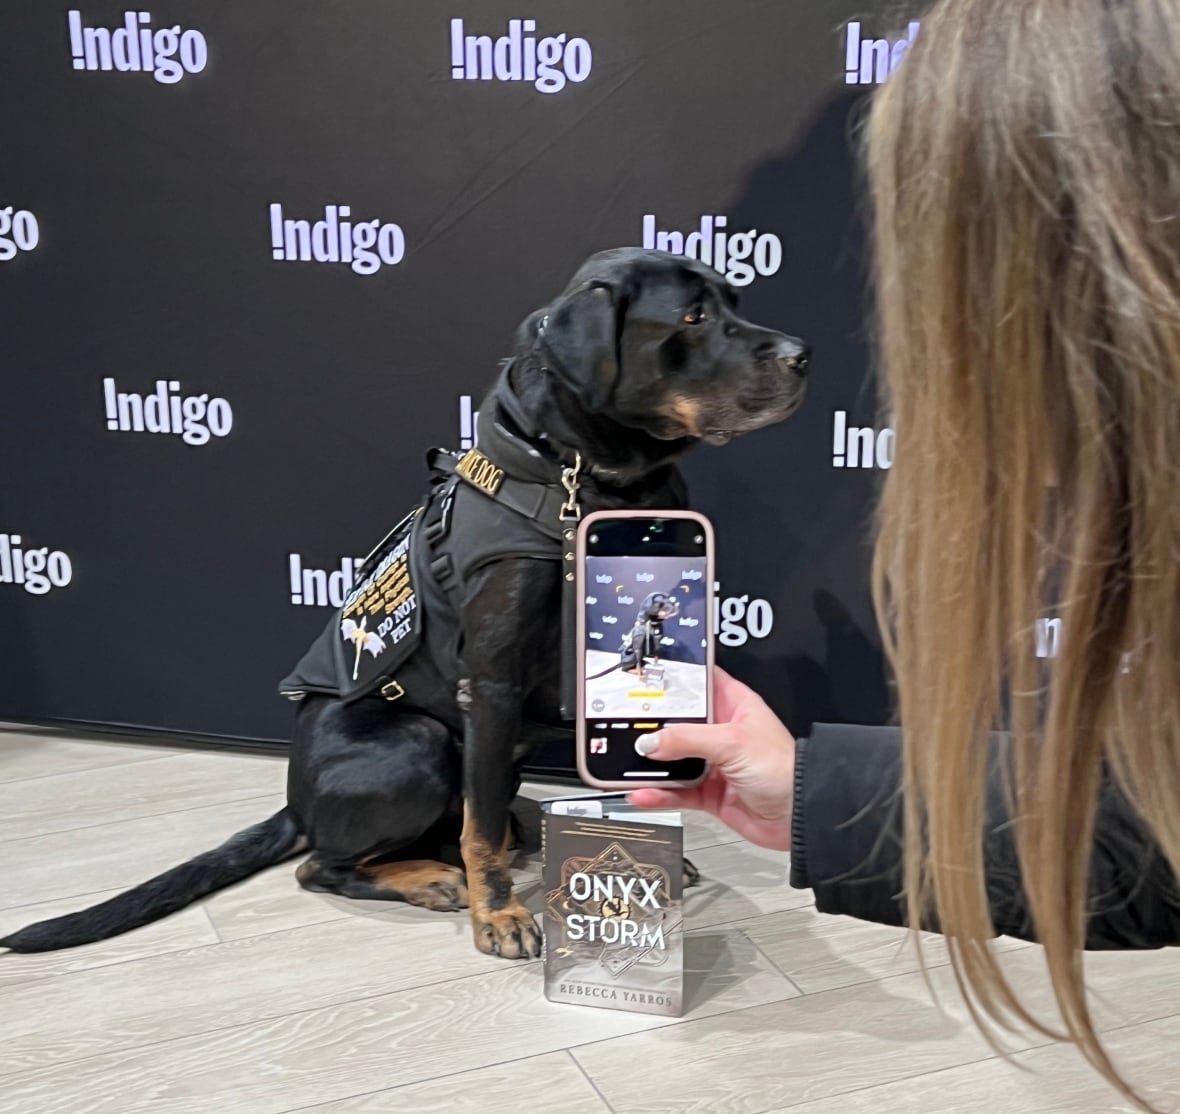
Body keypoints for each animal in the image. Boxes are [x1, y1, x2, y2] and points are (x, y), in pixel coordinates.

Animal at [0, 247, 807, 962]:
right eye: (693, 315)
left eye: (734, 299)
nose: (803, 355)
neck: (593, 479)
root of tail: (296, 803)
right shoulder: (492, 680)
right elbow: (480, 833)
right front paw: (499, 916)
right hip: (421, 744)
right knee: (331, 862)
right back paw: (432, 878)